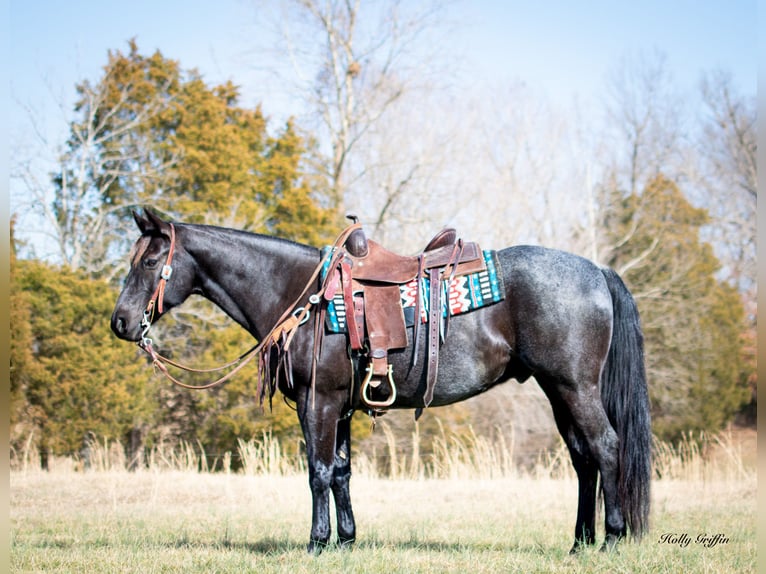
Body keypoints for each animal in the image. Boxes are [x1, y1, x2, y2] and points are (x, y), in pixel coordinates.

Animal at [111, 212, 652, 560]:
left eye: (147, 262)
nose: (120, 322)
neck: (300, 296)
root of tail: (596, 271)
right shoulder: (341, 407)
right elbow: (343, 473)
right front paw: (346, 541)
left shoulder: (317, 403)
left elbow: (318, 472)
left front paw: (316, 543)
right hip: (558, 391)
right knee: (583, 460)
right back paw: (579, 543)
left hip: (574, 388)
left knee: (606, 448)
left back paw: (610, 539)